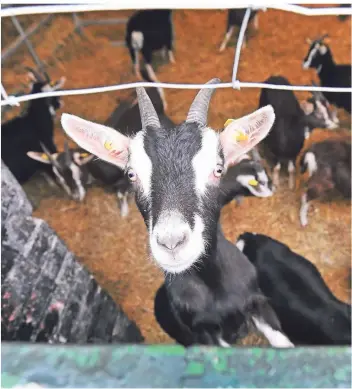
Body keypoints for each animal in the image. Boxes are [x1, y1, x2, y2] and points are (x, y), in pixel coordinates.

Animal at [61, 77, 294, 348]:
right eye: (131, 174)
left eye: (217, 169)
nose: (171, 243)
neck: (214, 287)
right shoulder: (205, 332)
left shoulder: (258, 302)